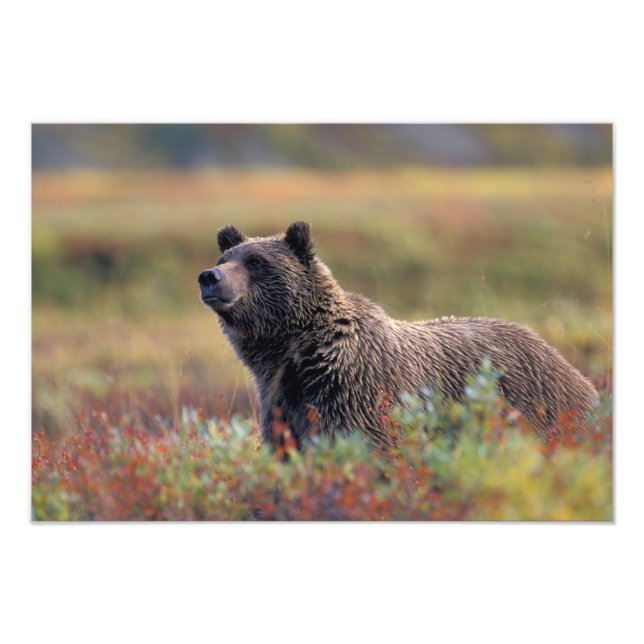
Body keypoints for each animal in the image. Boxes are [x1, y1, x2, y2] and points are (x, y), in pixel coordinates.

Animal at [198, 221, 599, 449]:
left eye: (256, 262)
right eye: (225, 259)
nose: (209, 277)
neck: (300, 353)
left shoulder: (358, 397)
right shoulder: (282, 402)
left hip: (536, 406)